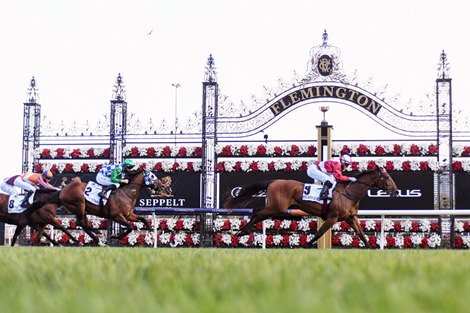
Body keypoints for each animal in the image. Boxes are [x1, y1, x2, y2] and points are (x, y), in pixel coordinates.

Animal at [222, 165, 398, 247]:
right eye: (386, 177)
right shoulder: (332, 217)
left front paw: (371, 249)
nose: (396, 191)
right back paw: (242, 232)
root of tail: (274, 181)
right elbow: (320, 233)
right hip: (276, 208)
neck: (349, 193)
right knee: (257, 212)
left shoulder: (350, 218)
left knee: (256, 212)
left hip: (275, 208)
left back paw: (244, 231)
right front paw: (306, 244)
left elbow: (361, 234)